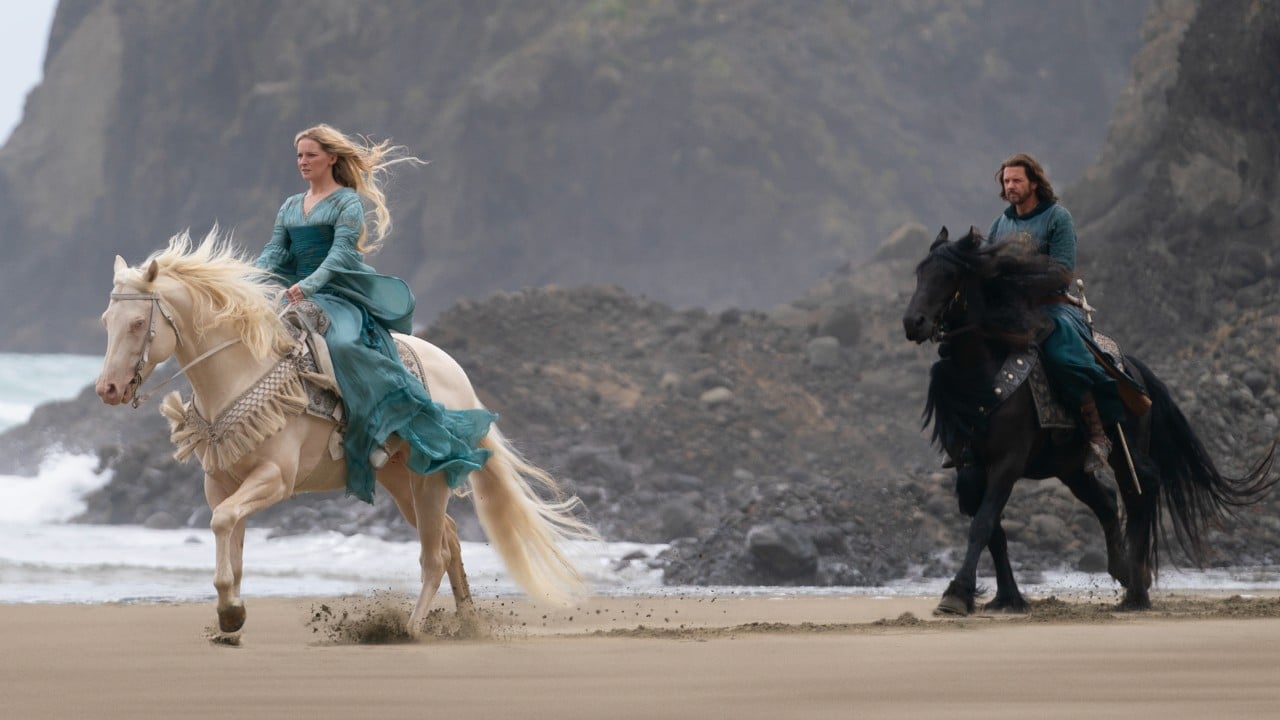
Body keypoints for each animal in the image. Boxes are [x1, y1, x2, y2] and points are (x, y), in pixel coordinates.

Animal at [97, 230, 596, 632]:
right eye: (106, 322)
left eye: (138, 323)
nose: (109, 388)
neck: (240, 372)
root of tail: (460, 378)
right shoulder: (220, 482)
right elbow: (230, 545)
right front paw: (229, 618)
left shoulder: (274, 479)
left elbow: (223, 525)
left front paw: (230, 614)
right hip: (399, 480)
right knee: (450, 539)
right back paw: (468, 621)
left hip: (430, 478)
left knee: (434, 554)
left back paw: (411, 629)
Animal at [906, 226, 1274, 614]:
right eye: (920, 273)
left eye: (949, 276)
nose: (913, 323)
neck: (982, 373)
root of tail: (1134, 369)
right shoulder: (969, 465)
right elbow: (994, 533)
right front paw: (1006, 597)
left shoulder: (1007, 462)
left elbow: (983, 524)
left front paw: (956, 593)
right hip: (1069, 467)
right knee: (1108, 501)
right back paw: (1124, 573)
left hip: (1123, 452)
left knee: (1139, 490)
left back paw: (1137, 591)